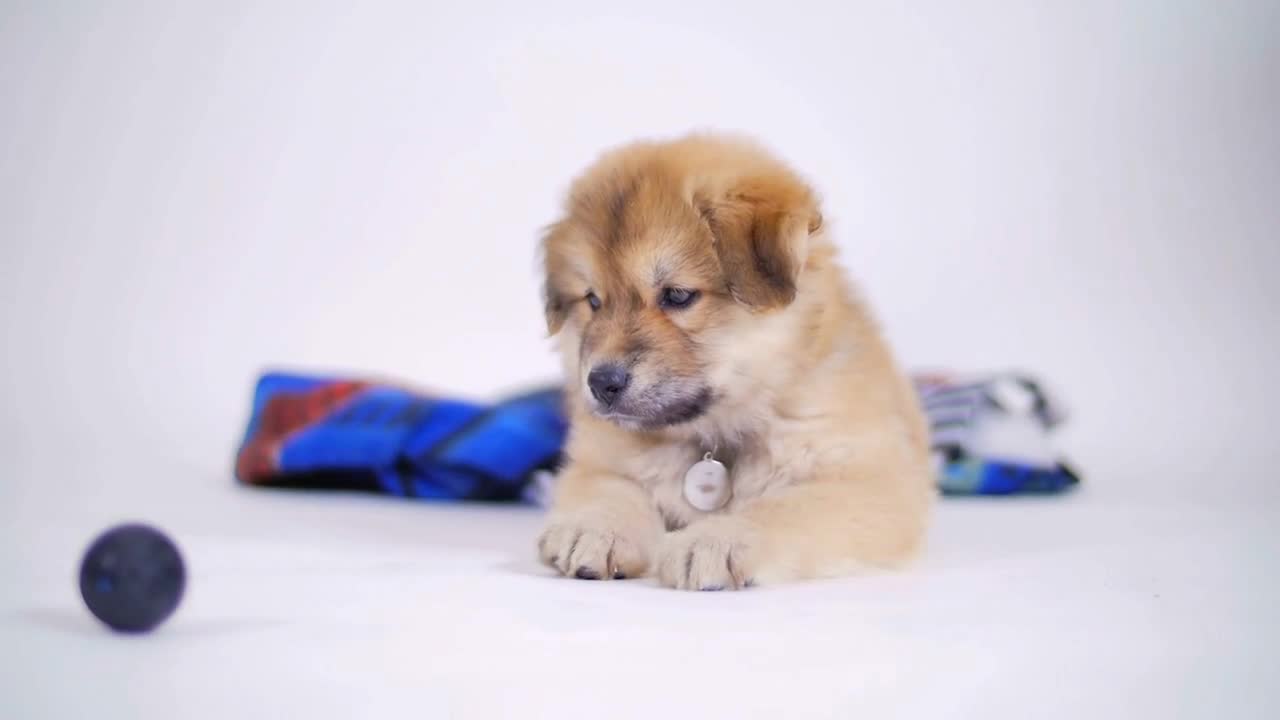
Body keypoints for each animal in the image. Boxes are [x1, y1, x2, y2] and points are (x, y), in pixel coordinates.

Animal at [535, 134, 936, 589]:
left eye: (677, 295)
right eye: (593, 300)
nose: (601, 383)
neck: (715, 434)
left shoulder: (873, 483)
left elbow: (781, 508)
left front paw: (715, 541)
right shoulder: (596, 462)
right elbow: (612, 489)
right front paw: (596, 528)